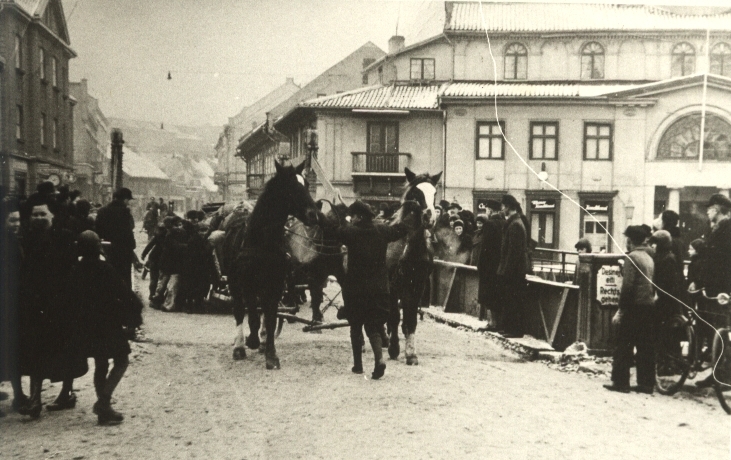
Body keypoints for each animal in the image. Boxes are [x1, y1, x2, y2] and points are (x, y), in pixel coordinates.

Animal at [229, 160, 320, 369]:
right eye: (291, 187)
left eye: (306, 184)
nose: (314, 215)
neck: (263, 241)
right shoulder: (247, 283)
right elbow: (251, 315)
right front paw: (251, 340)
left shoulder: (275, 284)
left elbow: (270, 318)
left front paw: (270, 353)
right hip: (236, 284)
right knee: (240, 310)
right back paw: (240, 346)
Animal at [386, 167, 442, 365]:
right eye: (417, 193)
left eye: (434, 192)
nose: (429, 217)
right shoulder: (393, 285)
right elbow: (394, 316)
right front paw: (394, 348)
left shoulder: (417, 285)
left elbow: (411, 319)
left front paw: (411, 354)